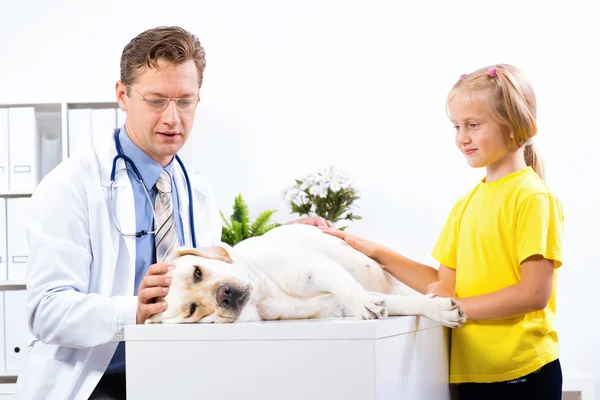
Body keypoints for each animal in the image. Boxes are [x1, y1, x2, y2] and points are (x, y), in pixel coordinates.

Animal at [148, 223, 466, 326]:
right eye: (192, 310)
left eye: (197, 272)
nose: (223, 295)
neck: (263, 295)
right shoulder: (338, 307)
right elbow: (396, 303)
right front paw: (440, 309)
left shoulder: (315, 270)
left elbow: (347, 287)